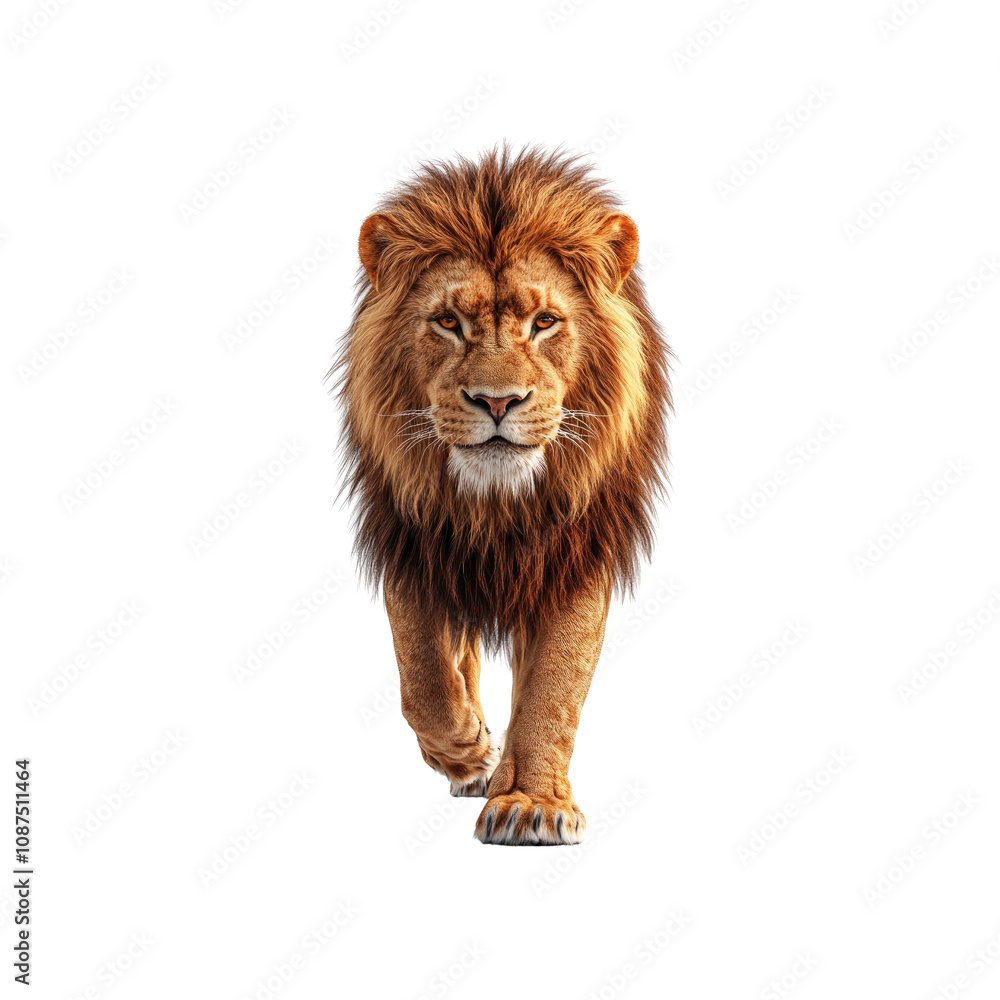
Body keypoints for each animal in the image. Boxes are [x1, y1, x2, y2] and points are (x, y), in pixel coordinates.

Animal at [335, 146, 670, 845]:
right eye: (448, 322)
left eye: (544, 323)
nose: (496, 401)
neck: (495, 507)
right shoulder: (411, 536)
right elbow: (424, 672)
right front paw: (467, 749)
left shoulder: (576, 552)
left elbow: (553, 687)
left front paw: (530, 803)